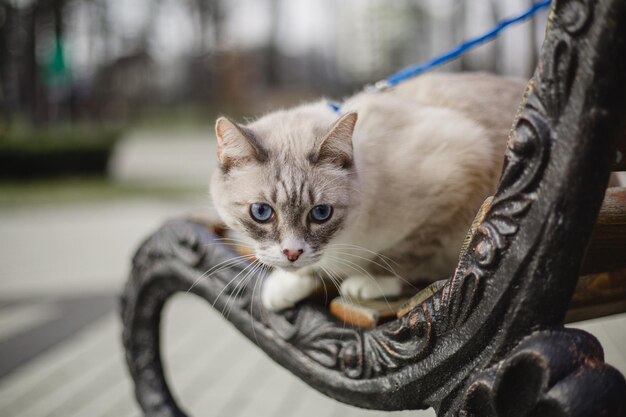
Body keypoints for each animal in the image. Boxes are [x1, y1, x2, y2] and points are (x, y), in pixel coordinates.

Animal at [210, 71, 528, 310]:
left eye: (321, 213)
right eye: (261, 212)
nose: (291, 253)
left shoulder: (460, 174)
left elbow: (406, 253)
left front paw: (369, 282)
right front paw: (286, 285)